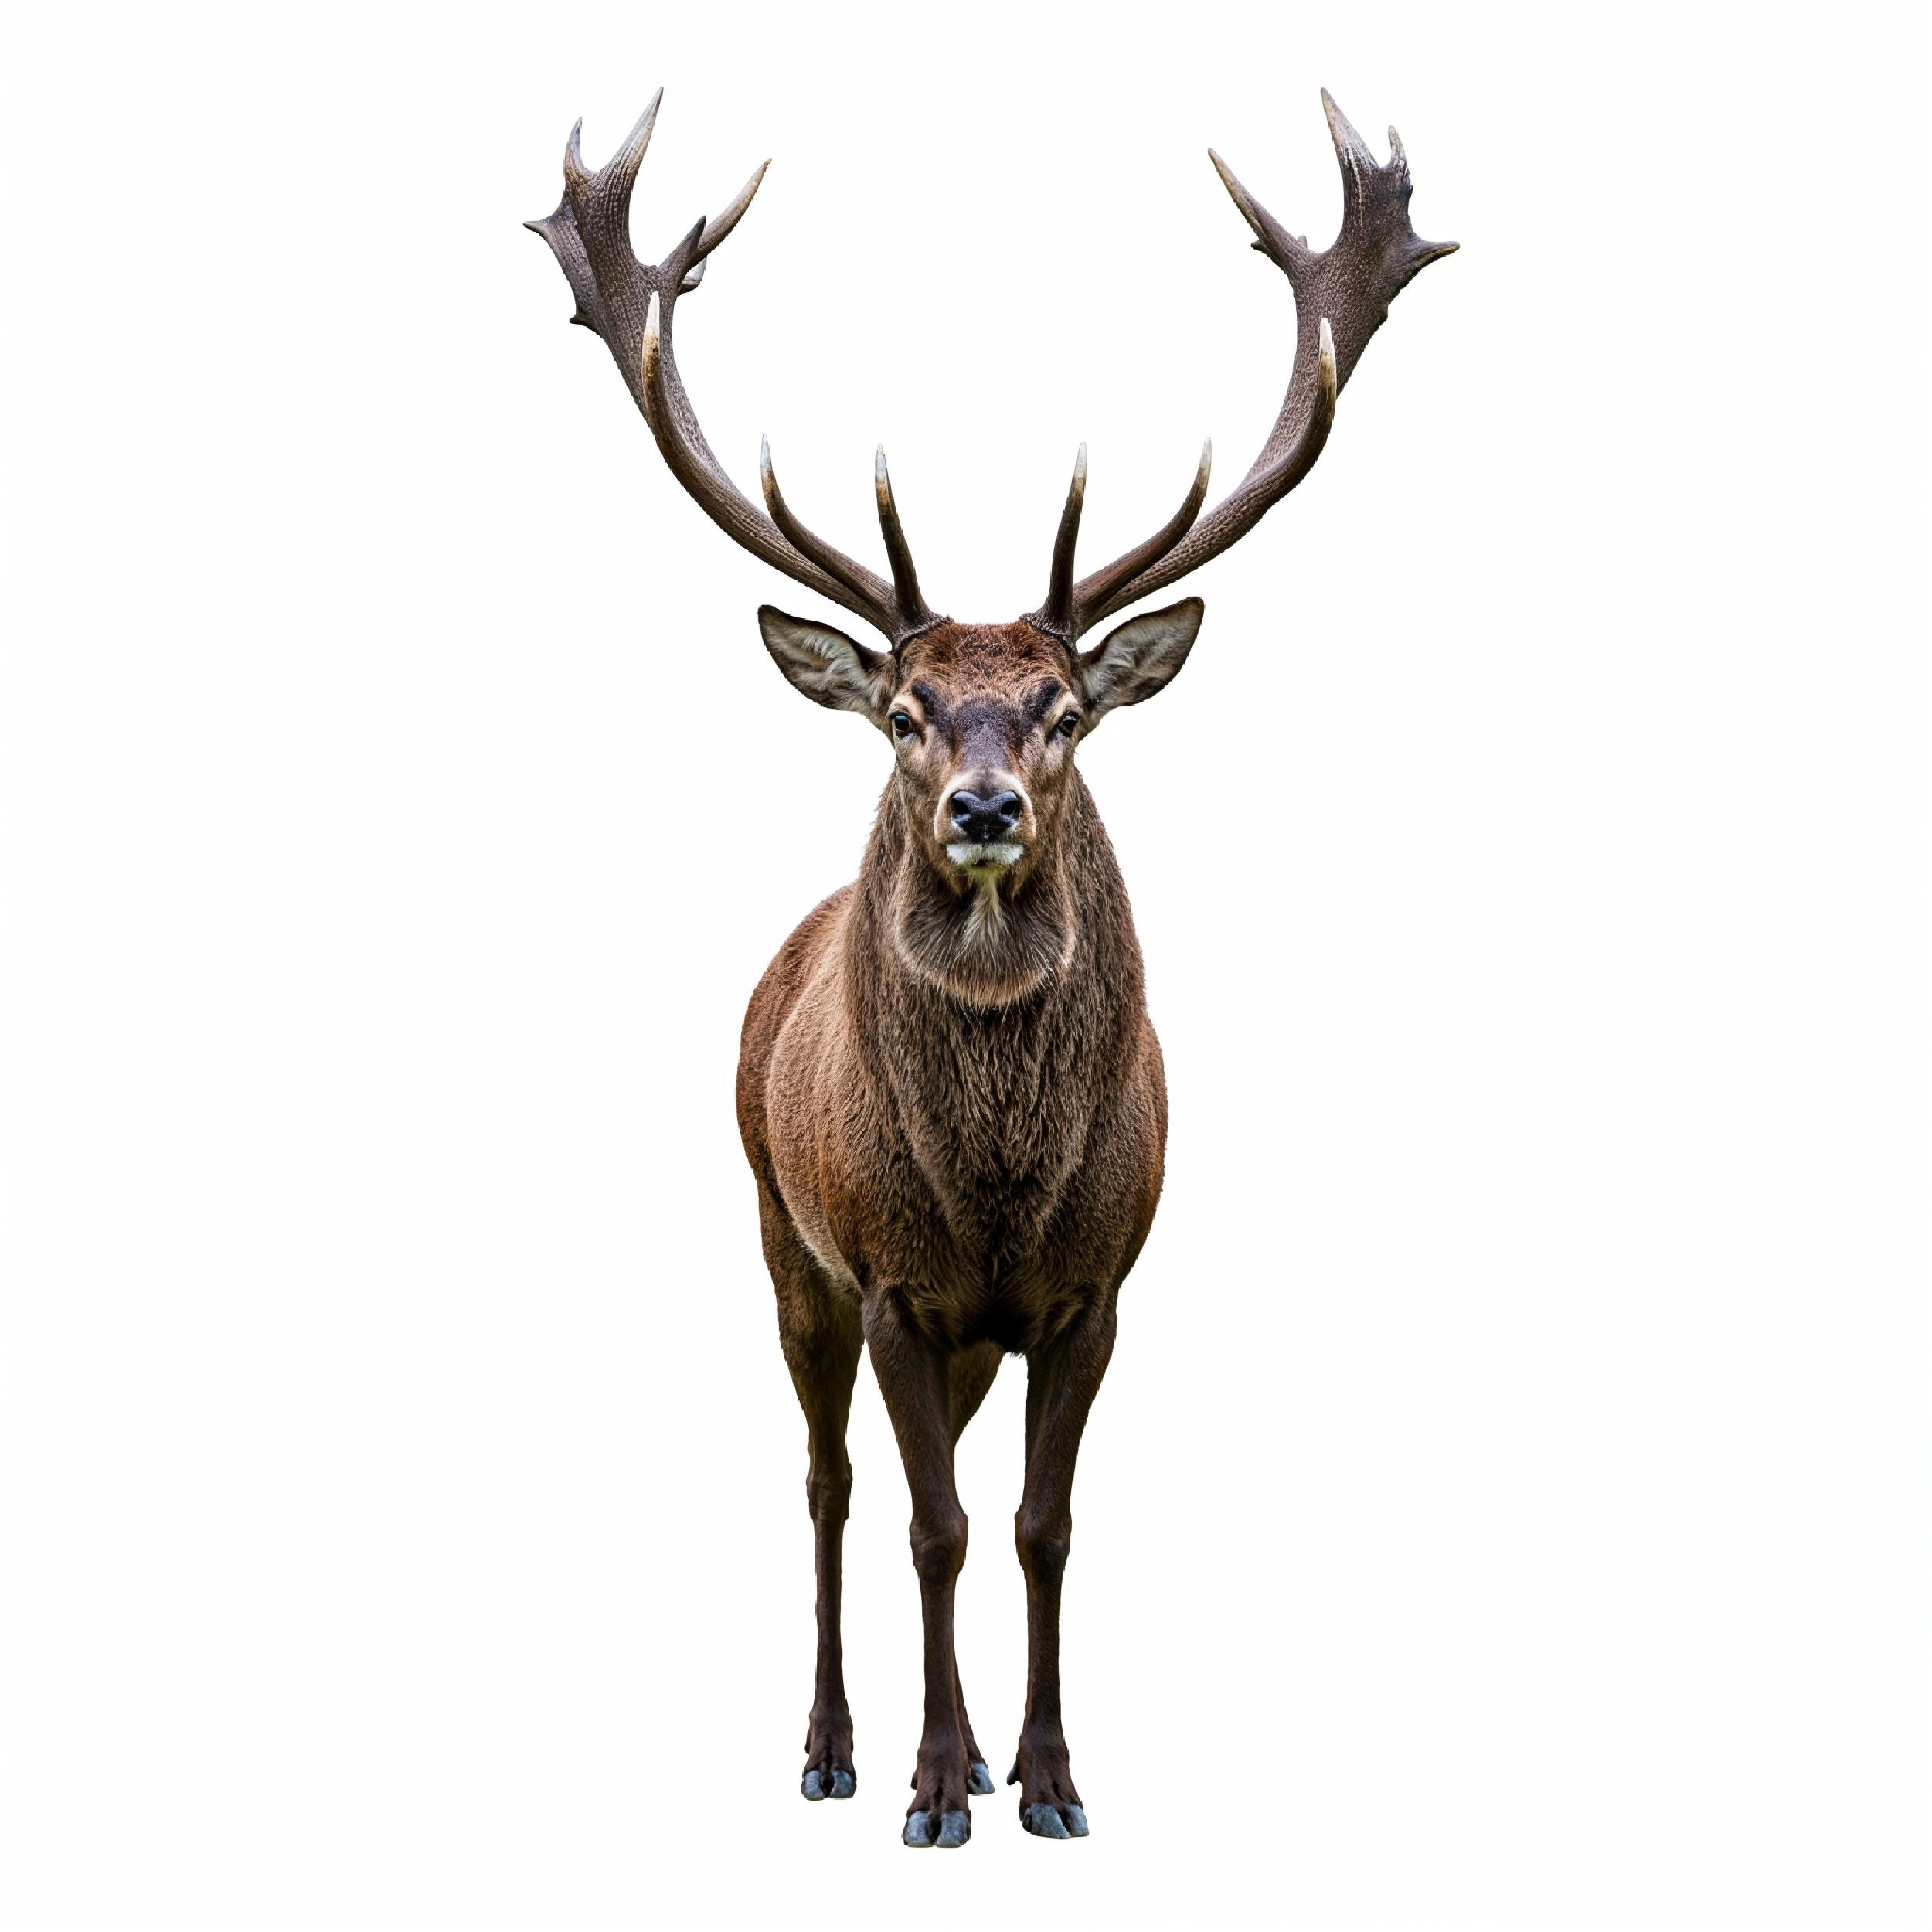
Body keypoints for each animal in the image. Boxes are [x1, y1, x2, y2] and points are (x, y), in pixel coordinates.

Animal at [528, 84, 1453, 1848]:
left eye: (1066, 708)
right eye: (902, 711)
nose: (980, 805)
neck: (995, 1193)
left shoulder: (1093, 1289)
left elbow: (1036, 1525)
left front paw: (1053, 1776)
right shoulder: (894, 1277)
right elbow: (932, 1527)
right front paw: (933, 1784)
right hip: (782, 1238)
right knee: (828, 1485)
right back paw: (828, 1744)